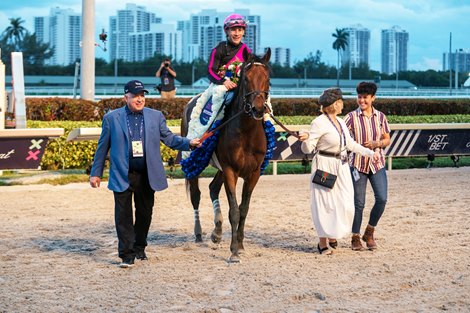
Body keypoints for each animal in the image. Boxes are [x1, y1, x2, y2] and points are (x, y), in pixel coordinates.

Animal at [181, 47, 272, 260]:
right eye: (246, 78)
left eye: (267, 78)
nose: (257, 108)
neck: (247, 132)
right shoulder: (231, 170)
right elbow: (234, 210)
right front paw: (234, 251)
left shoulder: (253, 173)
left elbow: (244, 209)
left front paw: (240, 244)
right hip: (195, 159)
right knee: (196, 194)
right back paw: (199, 233)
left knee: (213, 188)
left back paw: (217, 231)